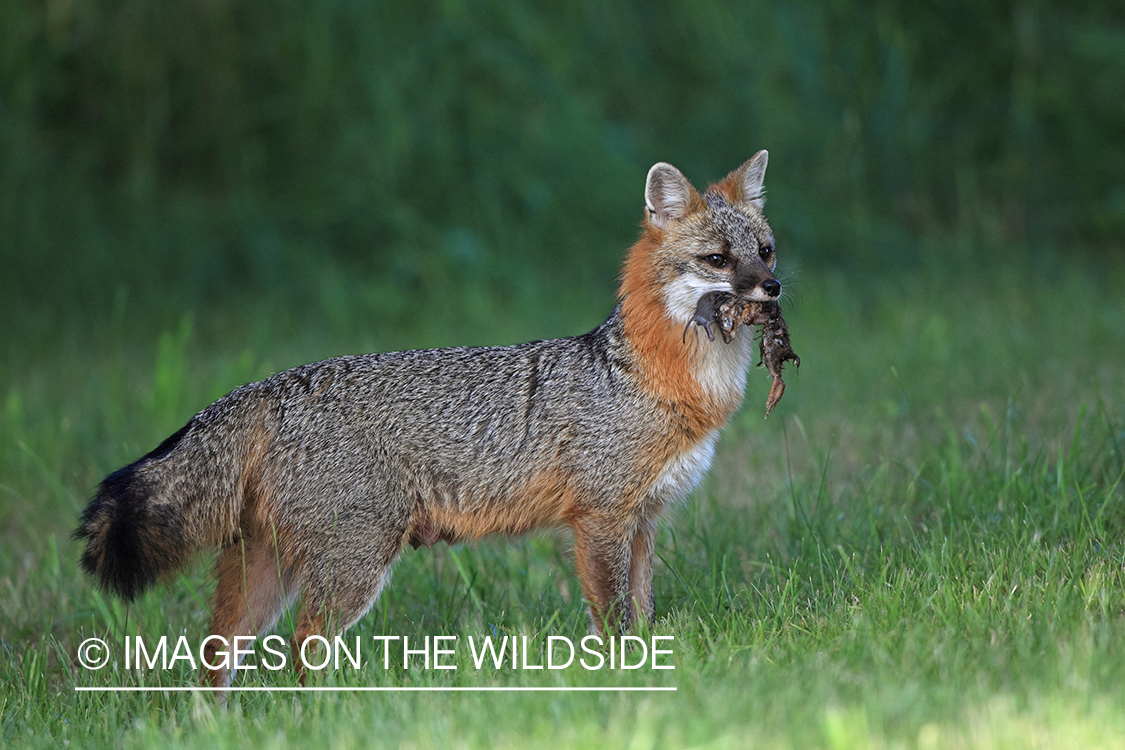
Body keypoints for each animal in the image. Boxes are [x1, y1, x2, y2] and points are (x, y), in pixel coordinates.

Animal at [77, 152, 783, 688]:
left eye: (767, 252)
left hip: (269, 569)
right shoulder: (603, 520)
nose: (773, 288)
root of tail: (270, 385)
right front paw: (615, 680)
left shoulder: (644, 522)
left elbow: (643, 619)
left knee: (217, 656)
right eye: (718, 261)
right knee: (302, 651)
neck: (662, 381)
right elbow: (611, 621)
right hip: (353, 568)